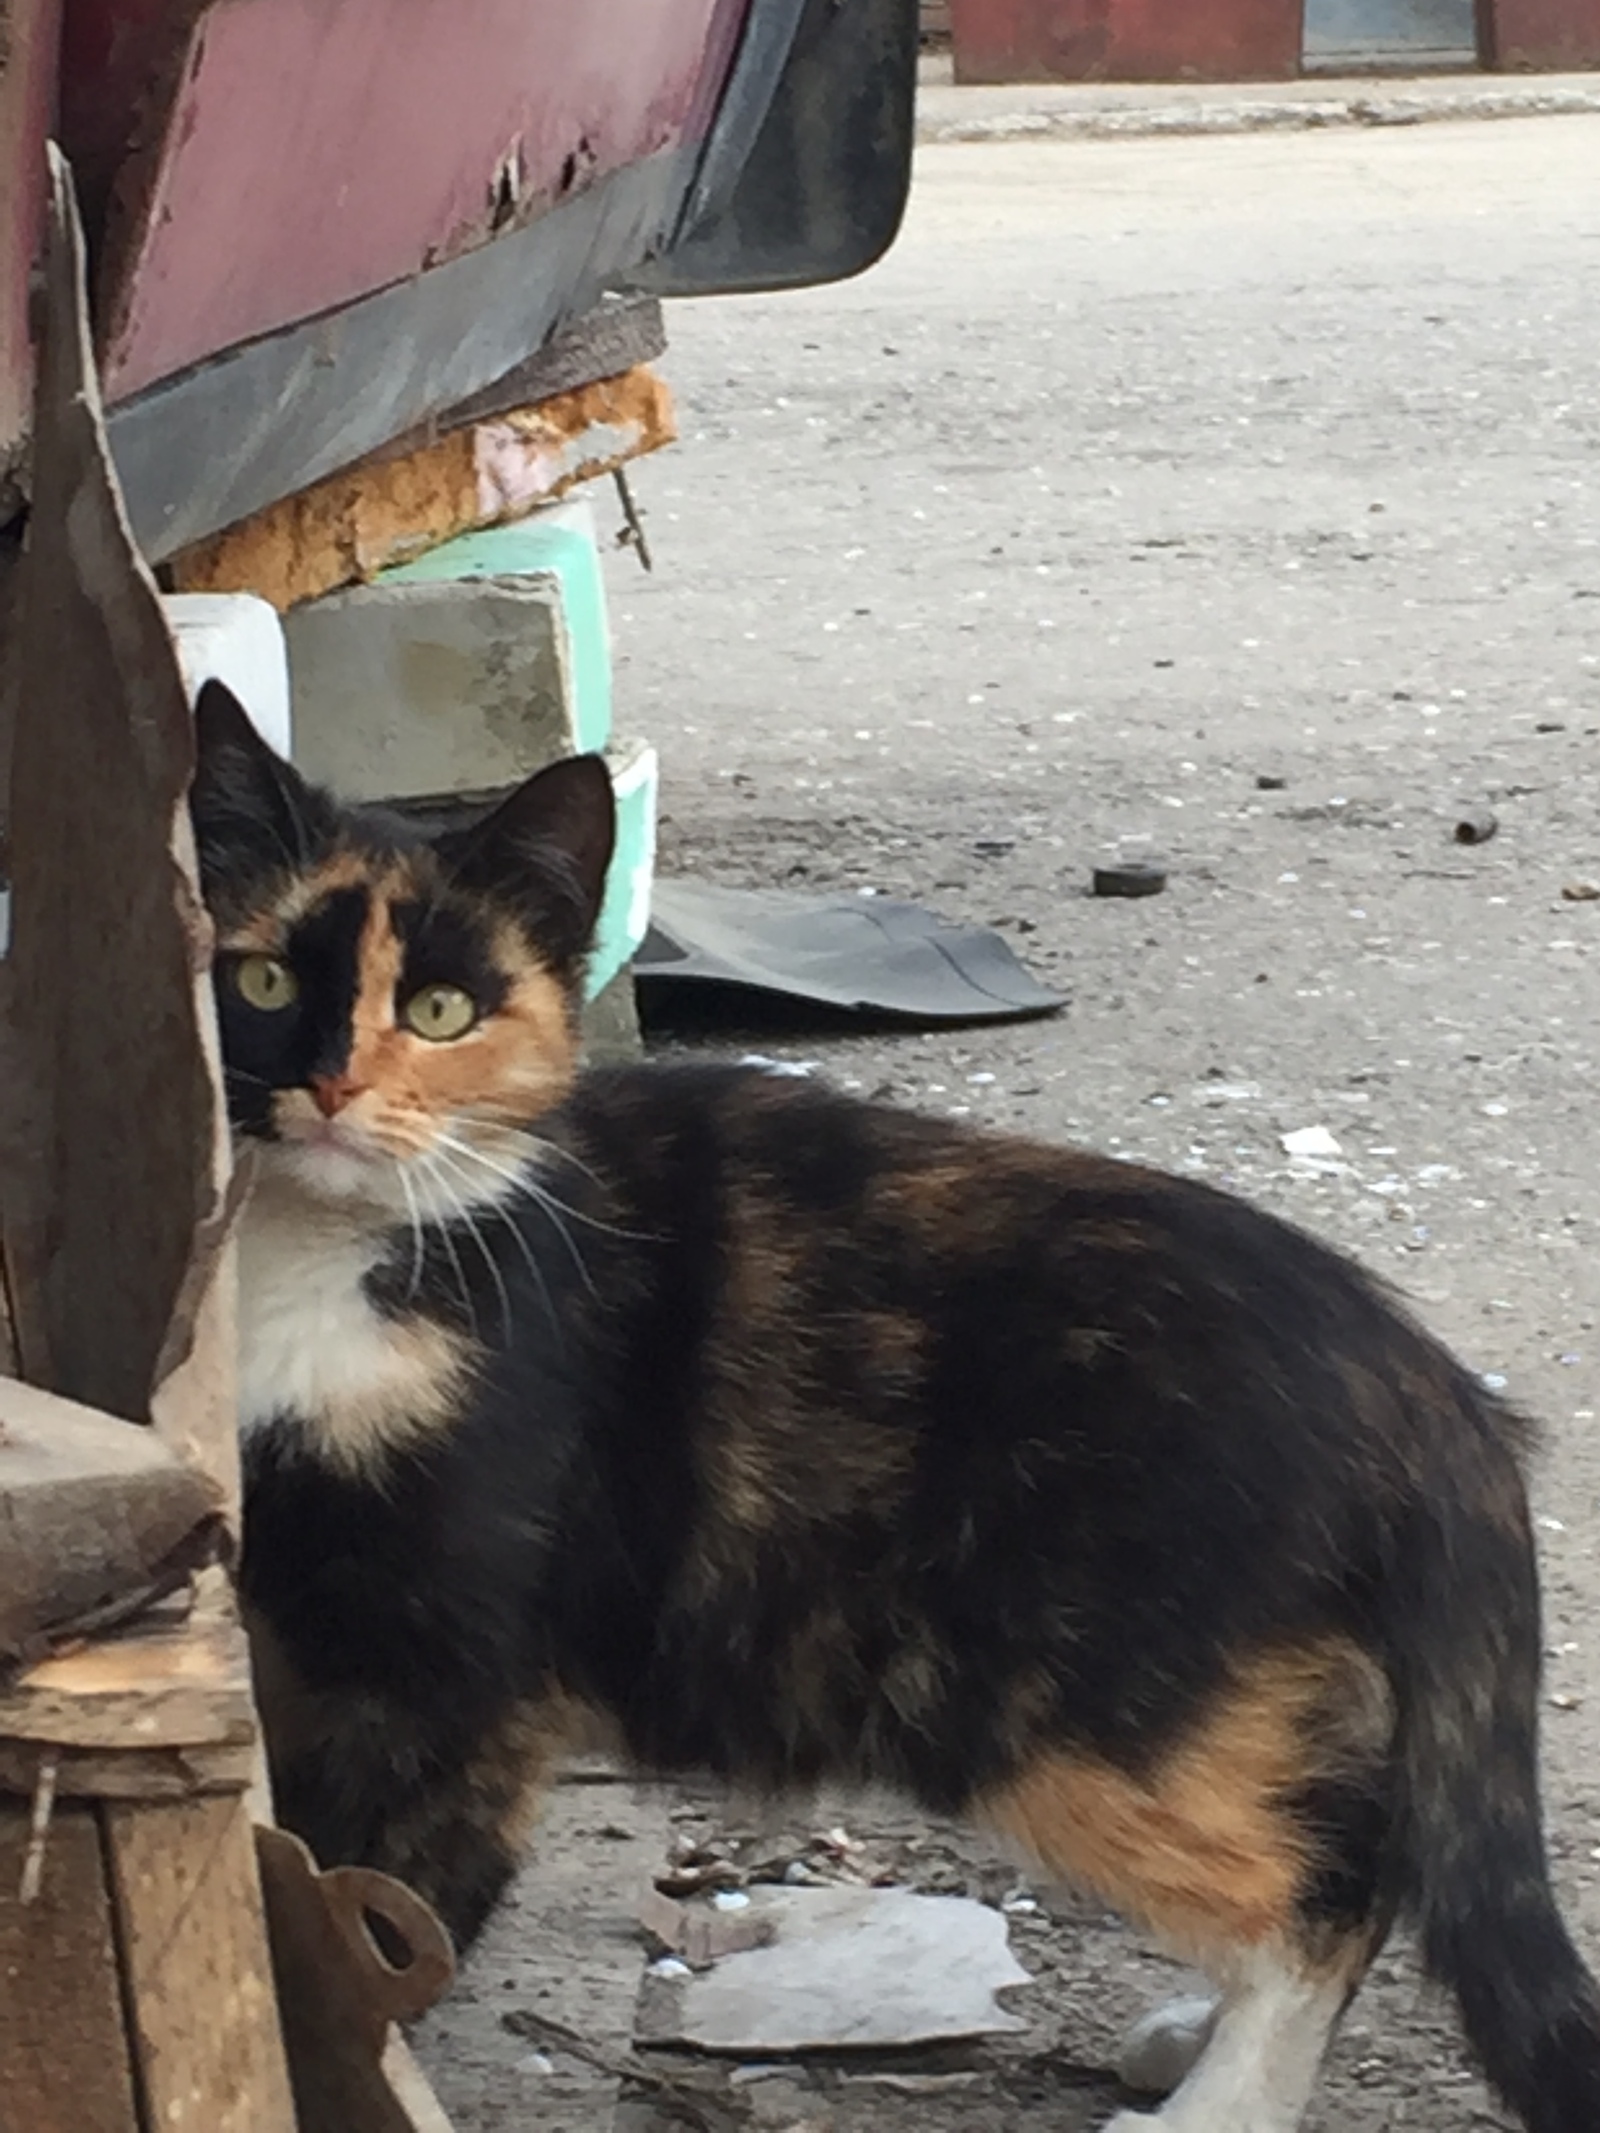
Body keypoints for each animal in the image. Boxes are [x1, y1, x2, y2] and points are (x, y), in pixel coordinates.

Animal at [190, 686, 1600, 2133]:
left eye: (440, 1006)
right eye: (260, 980)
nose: (331, 1088)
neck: (313, 1265)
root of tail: (1427, 1381)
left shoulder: (450, 1672)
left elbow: (374, 1907)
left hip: (1068, 1693)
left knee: (1334, 1884)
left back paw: (1217, 2102)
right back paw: (1186, 2040)